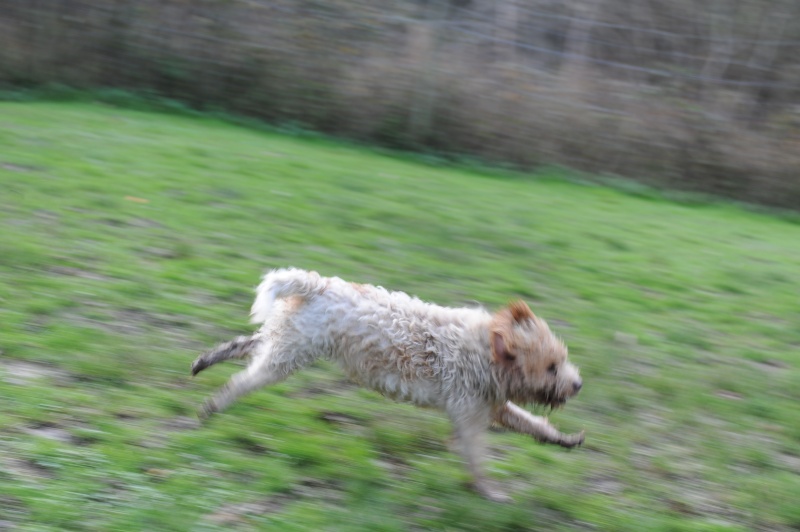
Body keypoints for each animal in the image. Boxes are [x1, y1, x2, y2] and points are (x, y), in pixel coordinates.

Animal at [191, 268, 584, 500]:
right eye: (552, 367)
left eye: (561, 362)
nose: (577, 384)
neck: (484, 351)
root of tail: (318, 285)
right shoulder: (469, 414)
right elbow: (477, 458)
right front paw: (490, 492)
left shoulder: (493, 406)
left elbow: (532, 424)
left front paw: (564, 439)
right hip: (287, 356)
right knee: (244, 379)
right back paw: (213, 405)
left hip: (287, 342)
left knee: (246, 345)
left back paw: (204, 361)